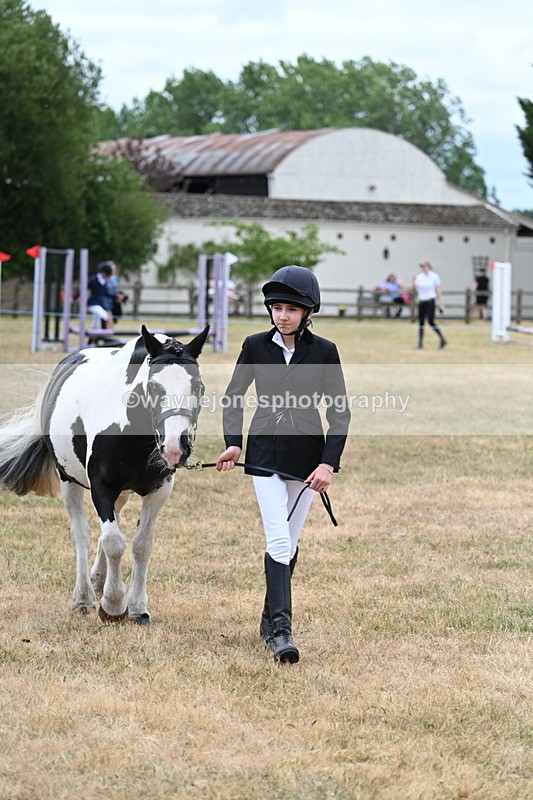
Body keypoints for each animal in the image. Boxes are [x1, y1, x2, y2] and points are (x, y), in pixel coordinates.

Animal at [0, 325, 209, 624]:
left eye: (199, 387)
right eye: (153, 386)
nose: (174, 448)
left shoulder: (160, 490)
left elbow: (141, 545)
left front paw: (137, 608)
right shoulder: (100, 486)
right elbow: (113, 542)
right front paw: (112, 604)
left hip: (120, 493)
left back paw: (98, 581)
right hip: (69, 481)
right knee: (82, 534)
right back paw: (84, 598)